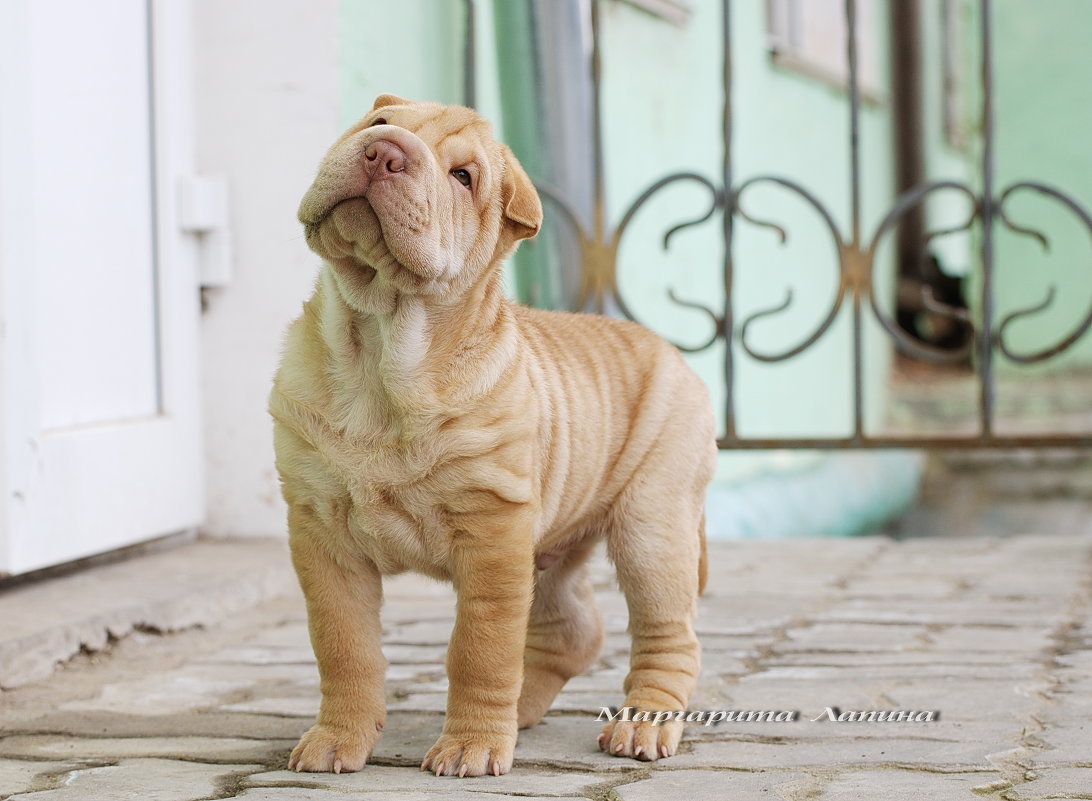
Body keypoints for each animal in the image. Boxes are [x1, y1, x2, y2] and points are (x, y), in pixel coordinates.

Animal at [270, 93, 716, 776]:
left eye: (463, 177)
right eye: (376, 124)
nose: (384, 151)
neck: (380, 349)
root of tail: (675, 356)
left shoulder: (493, 536)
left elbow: (480, 648)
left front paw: (470, 746)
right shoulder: (322, 534)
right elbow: (344, 646)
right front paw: (336, 739)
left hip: (652, 529)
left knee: (667, 635)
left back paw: (641, 726)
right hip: (554, 549)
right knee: (572, 630)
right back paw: (524, 711)